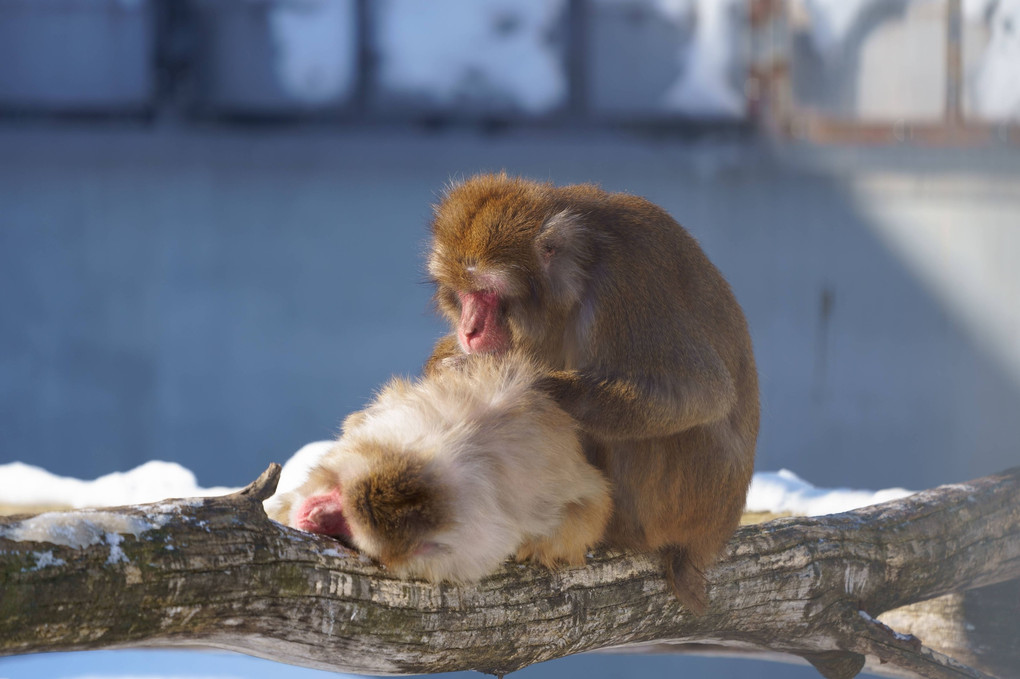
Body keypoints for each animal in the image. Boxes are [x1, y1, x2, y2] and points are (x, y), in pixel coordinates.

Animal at [422, 172, 758, 611]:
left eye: (488, 292)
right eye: (462, 293)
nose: (469, 330)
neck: (580, 274)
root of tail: (712, 538)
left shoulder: (627, 283)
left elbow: (702, 391)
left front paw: (526, 386)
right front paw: (447, 363)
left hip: (684, 501)